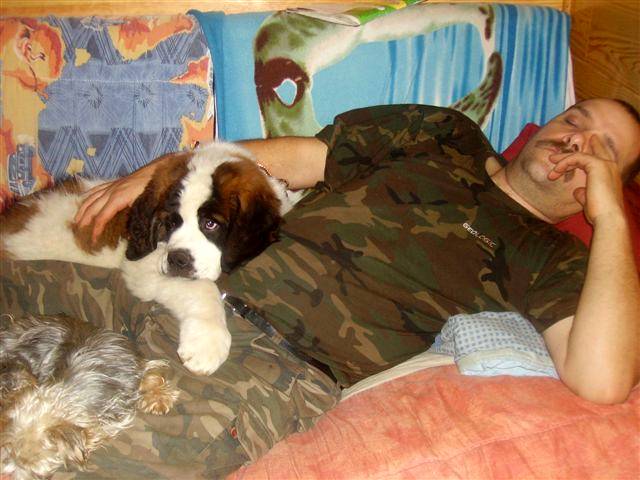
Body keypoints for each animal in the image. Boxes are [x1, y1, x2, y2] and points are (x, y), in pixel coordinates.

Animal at [0, 141, 301, 375]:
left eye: (211, 224)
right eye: (169, 223)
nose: (178, 260)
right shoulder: (143, 267)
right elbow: (202, 288)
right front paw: (207, 342)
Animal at [0, 313, 180, 479]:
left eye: (28, 464)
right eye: (5, 450)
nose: (5, 475)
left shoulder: (136, 367)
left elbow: (152, 376)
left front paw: (159, 398)